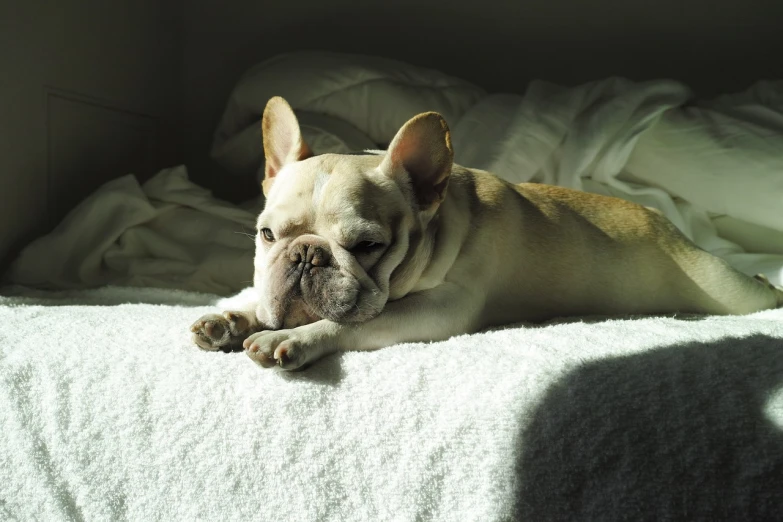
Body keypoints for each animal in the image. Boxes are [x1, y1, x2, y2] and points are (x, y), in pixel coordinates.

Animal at [191, 95, 783, 368]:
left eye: (368, 246)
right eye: (268, 236)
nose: (306, 257)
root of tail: (669, 225)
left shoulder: (438, 310)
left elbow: (351, 323)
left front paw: (292, 337)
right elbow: (256, 302)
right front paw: (232, 318)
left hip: (726, 290)